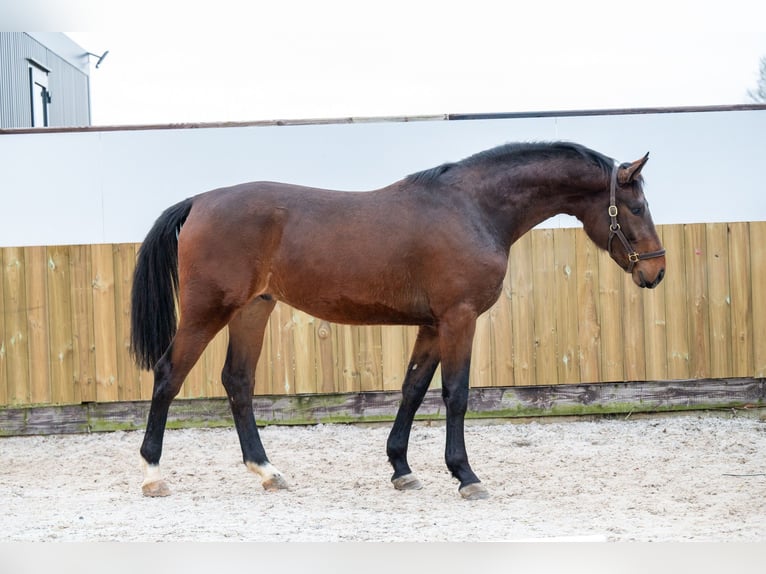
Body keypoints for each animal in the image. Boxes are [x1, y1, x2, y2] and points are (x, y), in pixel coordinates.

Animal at [130, 140, 664, 500]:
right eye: (636, 207)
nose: (656, 271)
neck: (473, 209)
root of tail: (199, 200)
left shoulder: (431, 325)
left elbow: (412, 389)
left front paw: (401, 468)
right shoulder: (458, 319)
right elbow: (455, 394)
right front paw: (465, 475)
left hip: (252, 310)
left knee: (238, 381)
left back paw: (267, 470)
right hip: (207, 311)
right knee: (169, 375)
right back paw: (154, 475)